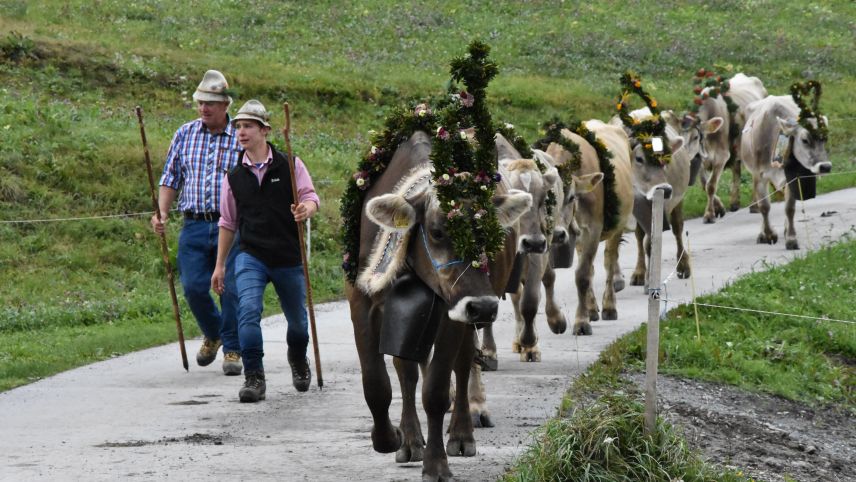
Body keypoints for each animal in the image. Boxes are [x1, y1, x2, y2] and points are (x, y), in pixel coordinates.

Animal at [344, 130, 532, 480]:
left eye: (491, 233)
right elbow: (376, 381)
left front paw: (436, 464)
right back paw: (410, 441)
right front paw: (389, 438)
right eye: (436, 231)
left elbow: (436, 391)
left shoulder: (453, 311)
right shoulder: (360, 297)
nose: (483, 307)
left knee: (462, 365)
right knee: (406, 371)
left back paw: (461, 434)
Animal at [740, 95, 832, 250]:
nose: (825, 167)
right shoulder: (759, 176)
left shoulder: (791, 178)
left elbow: (789, 208)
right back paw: (763, 234)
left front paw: (791, 238)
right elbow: (764, 206)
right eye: (804, 140)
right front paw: (769, 235)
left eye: (825, 138)